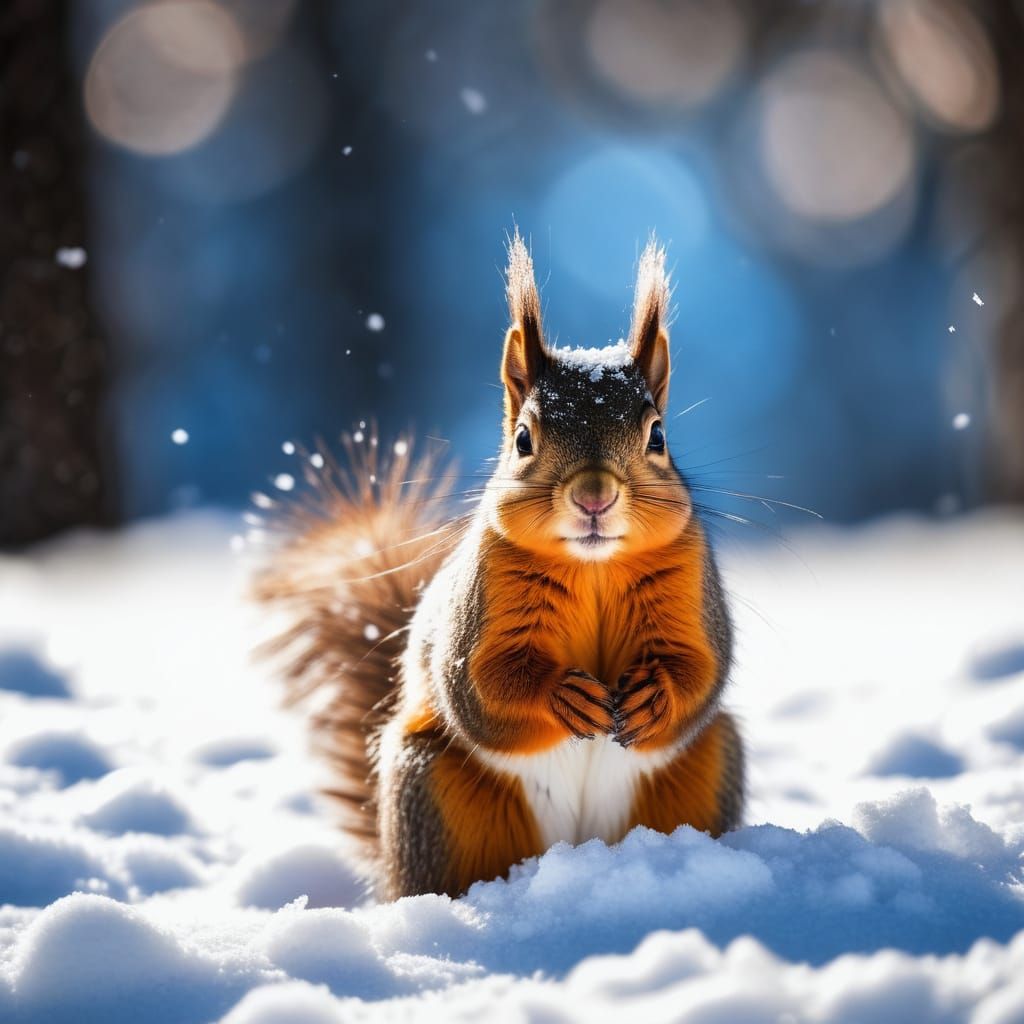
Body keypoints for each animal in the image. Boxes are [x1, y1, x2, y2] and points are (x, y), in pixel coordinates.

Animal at [256, 232, 744, 900]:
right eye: (523, 439)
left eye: (658, 436)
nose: (595, 496)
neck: (593, 567)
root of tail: (580, 849)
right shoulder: (481, 601)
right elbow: (481, 686)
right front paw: (562, 696)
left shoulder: (692, 586)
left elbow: (700, 667)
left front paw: (657, 697)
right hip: (433, 789)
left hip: (711, 763)